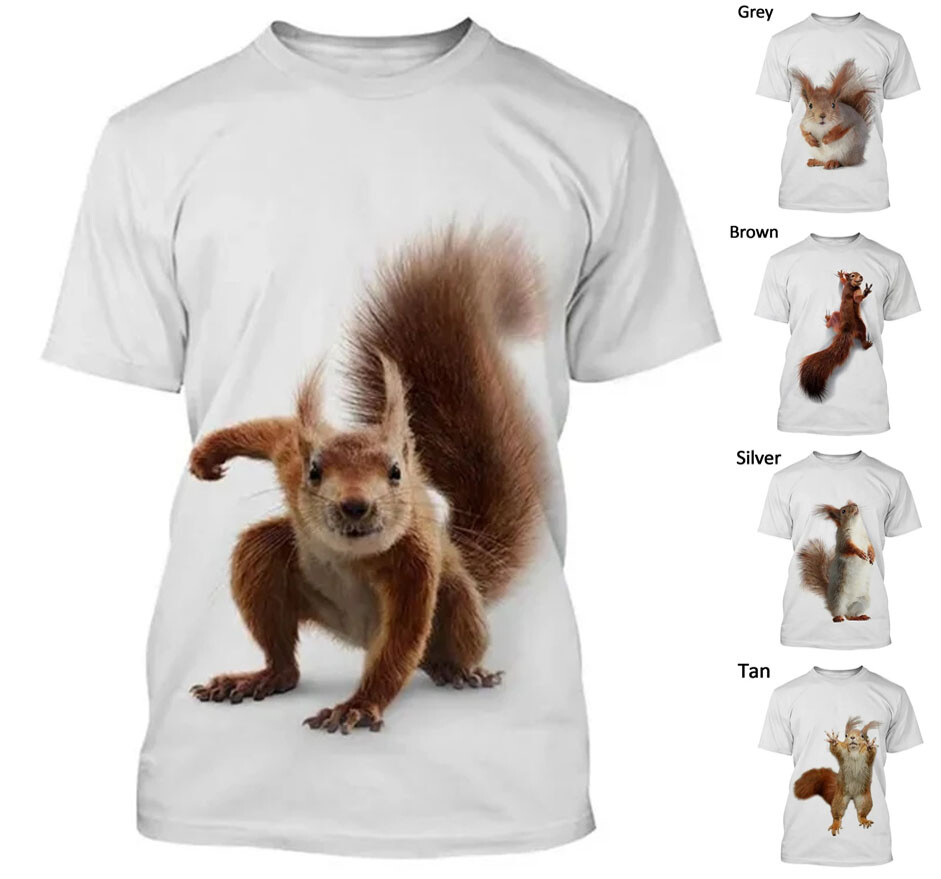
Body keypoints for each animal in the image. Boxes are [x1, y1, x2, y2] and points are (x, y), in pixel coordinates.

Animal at [187, 229, 546, 734]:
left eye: (396, 473)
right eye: (315, 470)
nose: (355, 504)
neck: (350, 556)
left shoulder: (417, 564)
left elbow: (401, 642)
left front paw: (358, 706)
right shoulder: (288, 454)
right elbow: (269, 430)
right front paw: (208, 454)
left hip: (456, 599)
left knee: (433, 649)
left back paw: (458, 671)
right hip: (267, 560)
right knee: (285, 659)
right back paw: (258, 678)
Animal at [799, 269, 873, 401]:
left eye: (858, 273)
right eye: (853, 275)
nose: (861, 277)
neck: (851, 285)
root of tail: (845, 330)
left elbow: (843, 283)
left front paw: (841, 275)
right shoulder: (854, 291)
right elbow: (857, 299)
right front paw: (865, 292)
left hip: (837, 318)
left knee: (831, 321)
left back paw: (828, 319)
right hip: (860, 325)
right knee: (863, 336)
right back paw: (866, 344)